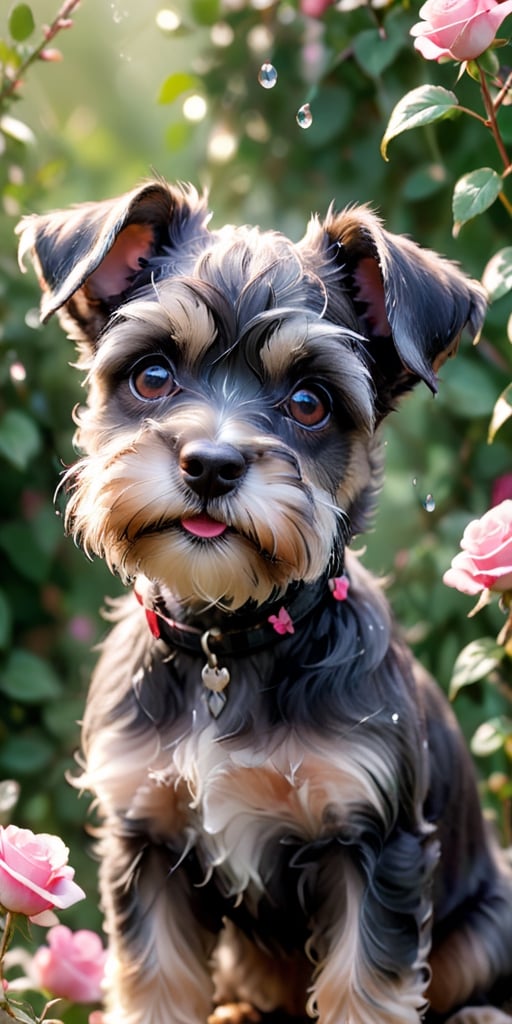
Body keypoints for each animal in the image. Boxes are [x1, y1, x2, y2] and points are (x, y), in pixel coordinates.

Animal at [14, 180, 512, 1024]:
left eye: (310, 402)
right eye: (152, 376)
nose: (211, 463)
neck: (229, 638)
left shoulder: (373, 844)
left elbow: (364, 989)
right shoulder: (146, 838)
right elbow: (156, 985)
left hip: (487, 914)